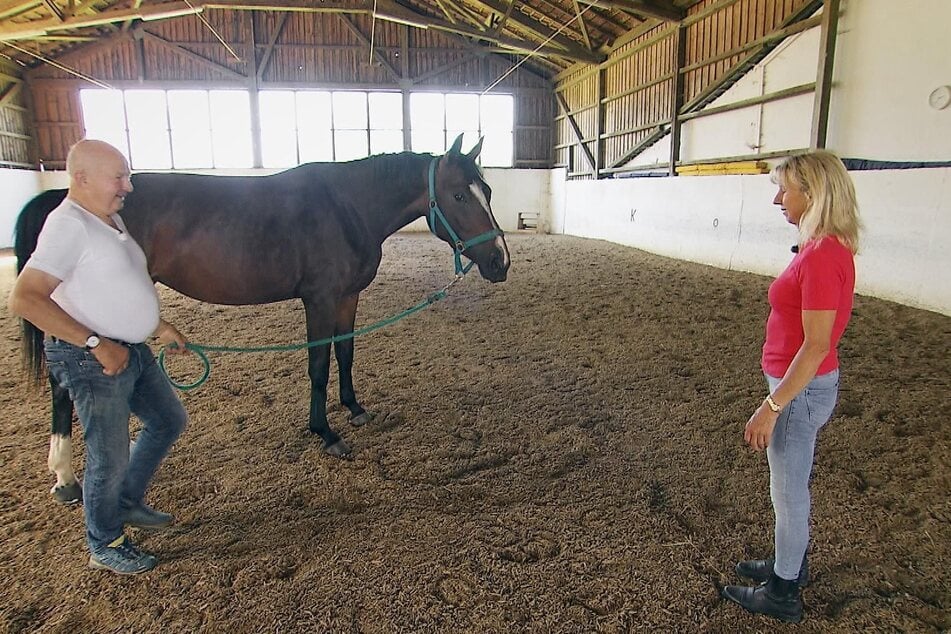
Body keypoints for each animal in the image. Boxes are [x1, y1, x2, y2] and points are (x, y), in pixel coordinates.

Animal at [14, 136, 510, 502]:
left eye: (488, 191)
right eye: (459, 194)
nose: (500, 262)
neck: (347, 207)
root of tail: (63, 199)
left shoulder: (347, 298)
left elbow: (346, 355)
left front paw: (354, 409)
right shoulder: (319, 300)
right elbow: (318, 366)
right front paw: (325, 433)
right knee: (64, 385)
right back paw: (65, 477)